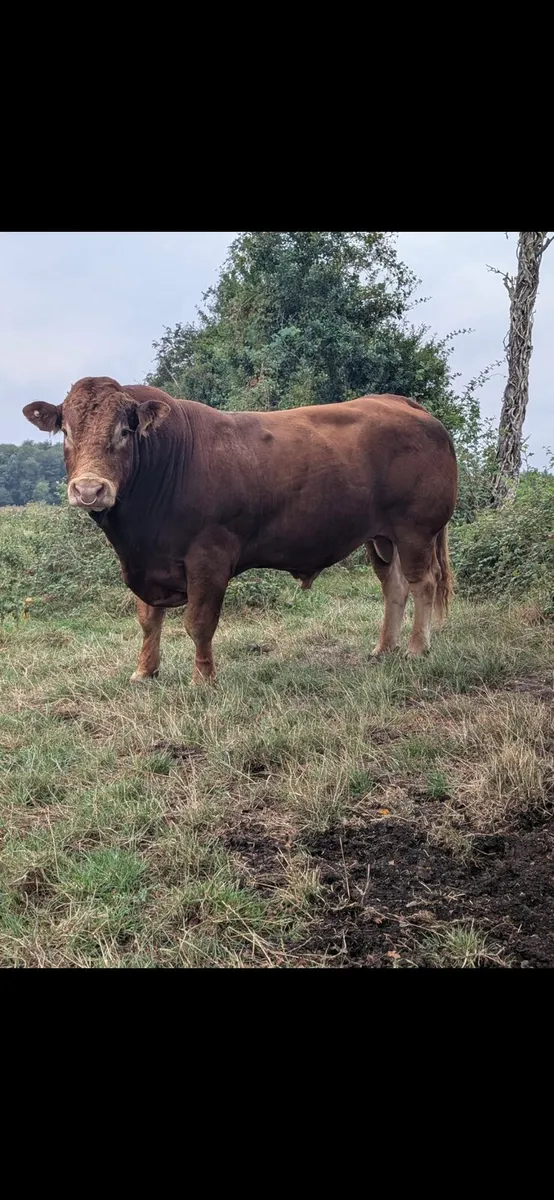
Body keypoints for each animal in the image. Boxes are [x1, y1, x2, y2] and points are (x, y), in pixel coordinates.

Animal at [23, 377, 457, 684]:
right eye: (67, 432)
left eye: (124, 432)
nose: (89, 490)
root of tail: (401, 402)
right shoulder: (146, 562)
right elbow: (149, 619)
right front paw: (144, 671)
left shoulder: (209, 557)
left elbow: (199, 622)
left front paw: (202, 679)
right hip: (381, 537)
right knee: (394, 587)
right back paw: (384, 648)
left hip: (415, 529)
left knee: (423, 583)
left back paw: (416, 649)